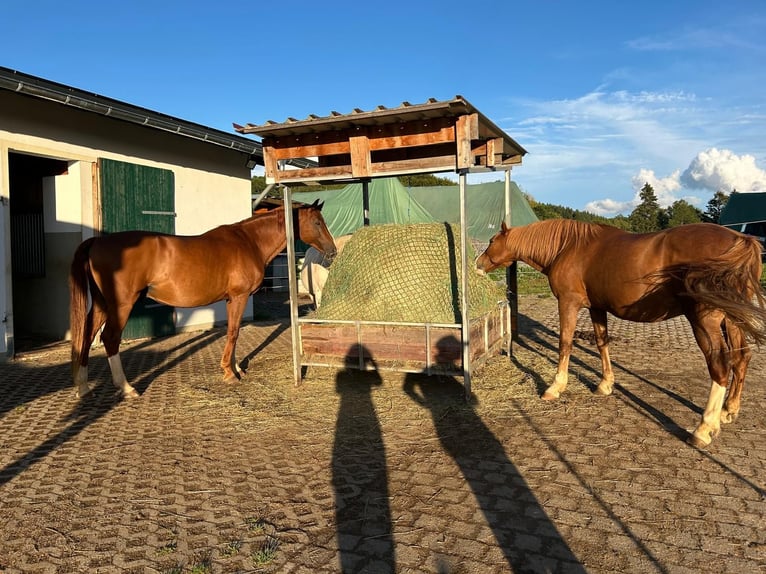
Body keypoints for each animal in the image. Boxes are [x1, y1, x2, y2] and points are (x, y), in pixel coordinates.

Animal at [69, 200, 336, 399]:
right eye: (317, 222)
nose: (332, 252)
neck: (249, 241)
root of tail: (97, 241)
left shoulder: (232, 300)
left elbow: (232, 331)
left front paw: (236, 368)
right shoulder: (239, 297)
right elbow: (234, 333)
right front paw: (229, 373)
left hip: (103, 304)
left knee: (88, 334)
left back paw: (83, 387)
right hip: (121, 304)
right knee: (109, 338)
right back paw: (127, 388)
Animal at [476, 220, 766, 448]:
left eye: (491, 241)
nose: (478, 264)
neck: (568, 247)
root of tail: (741, 240)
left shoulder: (568, 303)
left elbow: (565, 343)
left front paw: (555, 387)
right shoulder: (596, 308)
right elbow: (602, 343)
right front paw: (605, 384)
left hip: (705, 321)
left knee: (720, 365)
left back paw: (704, 429)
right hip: (731, 320)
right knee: (741, 358)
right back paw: (729, 411)